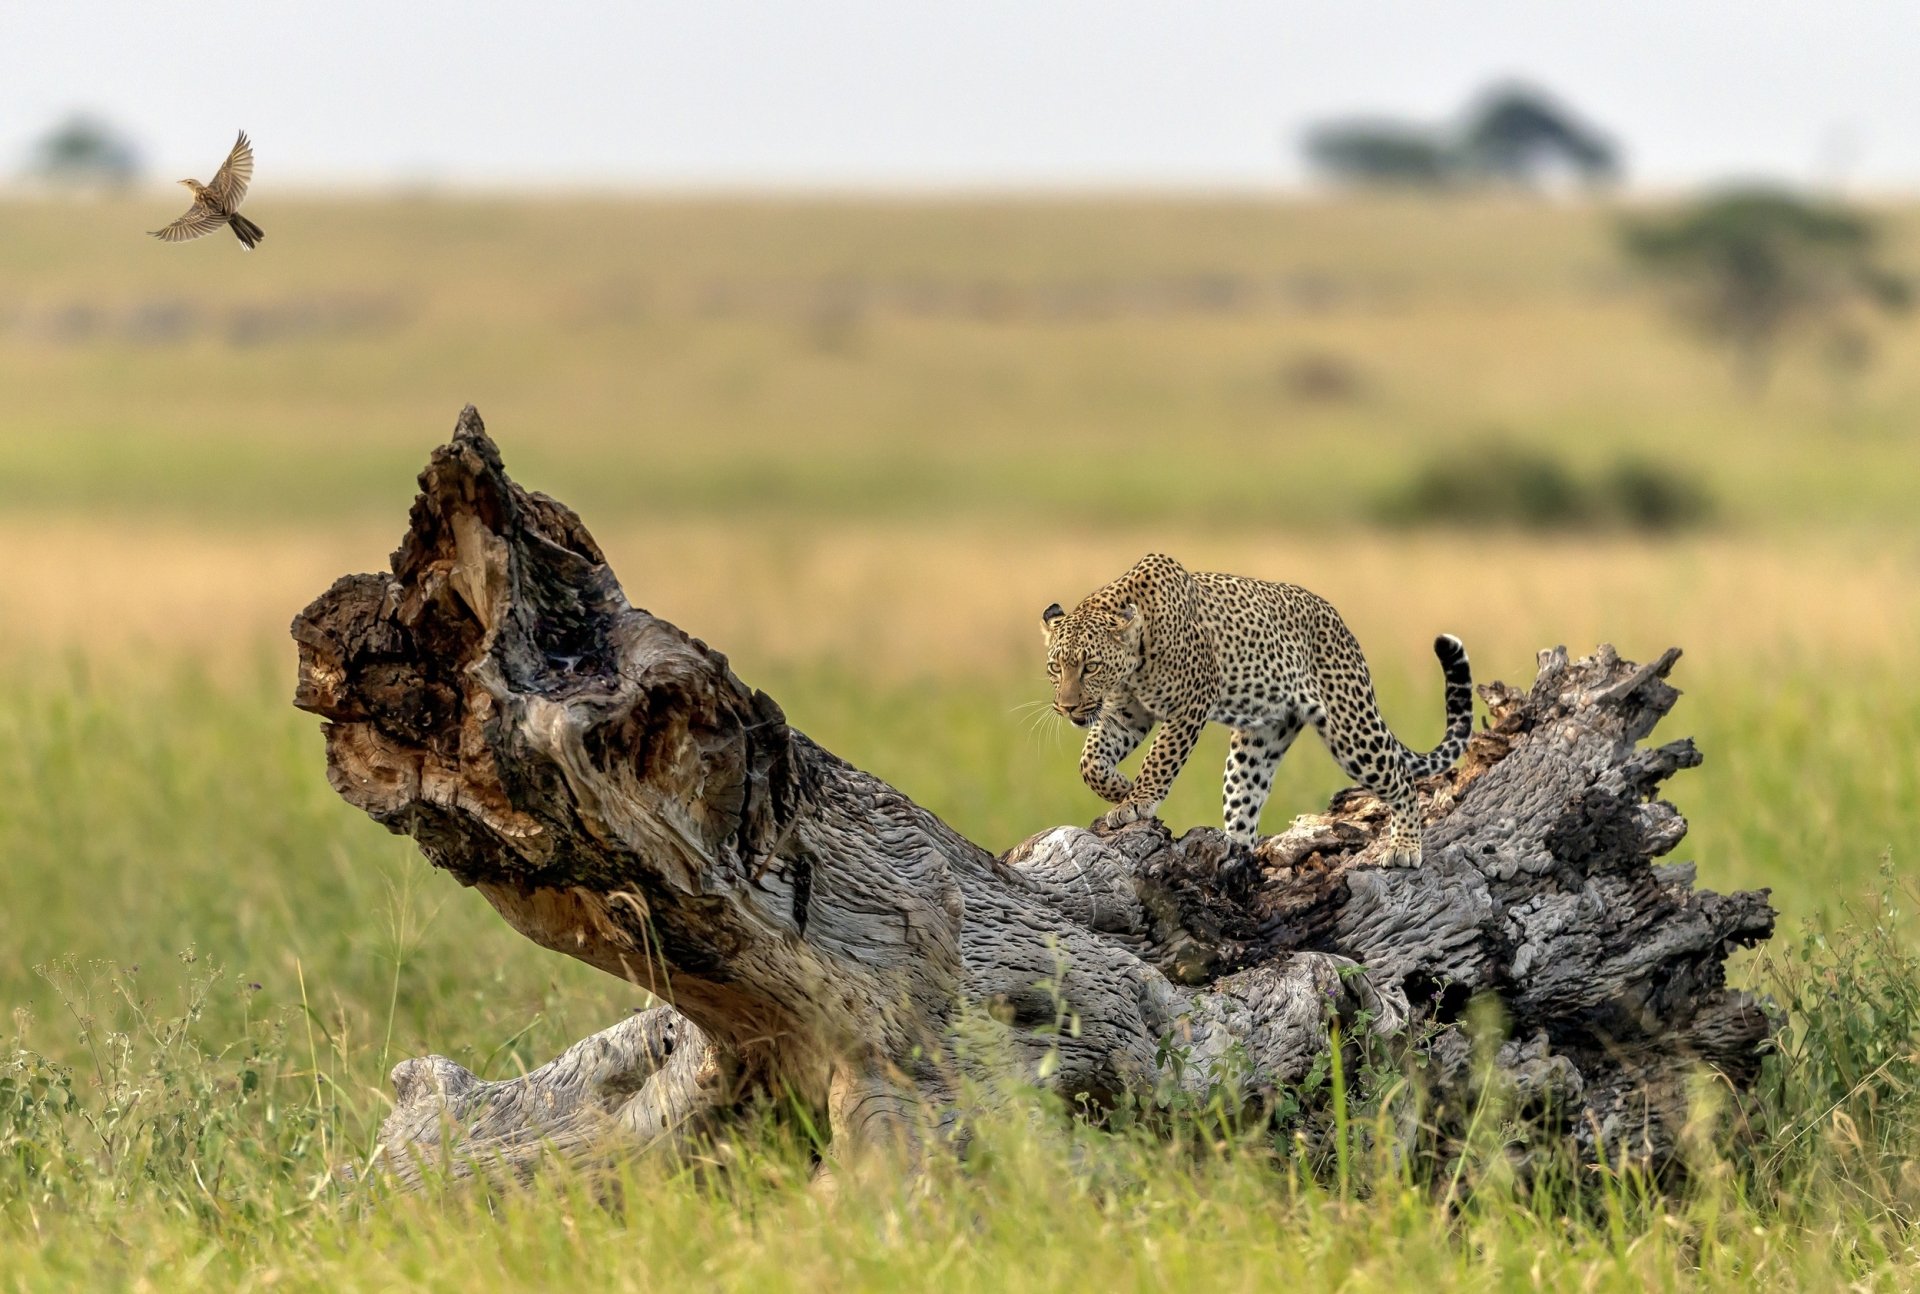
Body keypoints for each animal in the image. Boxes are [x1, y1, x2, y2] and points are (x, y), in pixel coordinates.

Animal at [1040, 553, 1473, 867]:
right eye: (1055, 667)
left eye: (1091, 666)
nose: (1066, 706)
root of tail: (1342, 625)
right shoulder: (1126, 714)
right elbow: (1089, 762)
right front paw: (1120, 790)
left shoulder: (1190, 703)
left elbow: (1160, 758)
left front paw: (1136, 800)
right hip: (1259, 743)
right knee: (1245, 803)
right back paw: (1237, 855)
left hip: (1351, 728)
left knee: (1401, 778)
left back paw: (1405, 847)